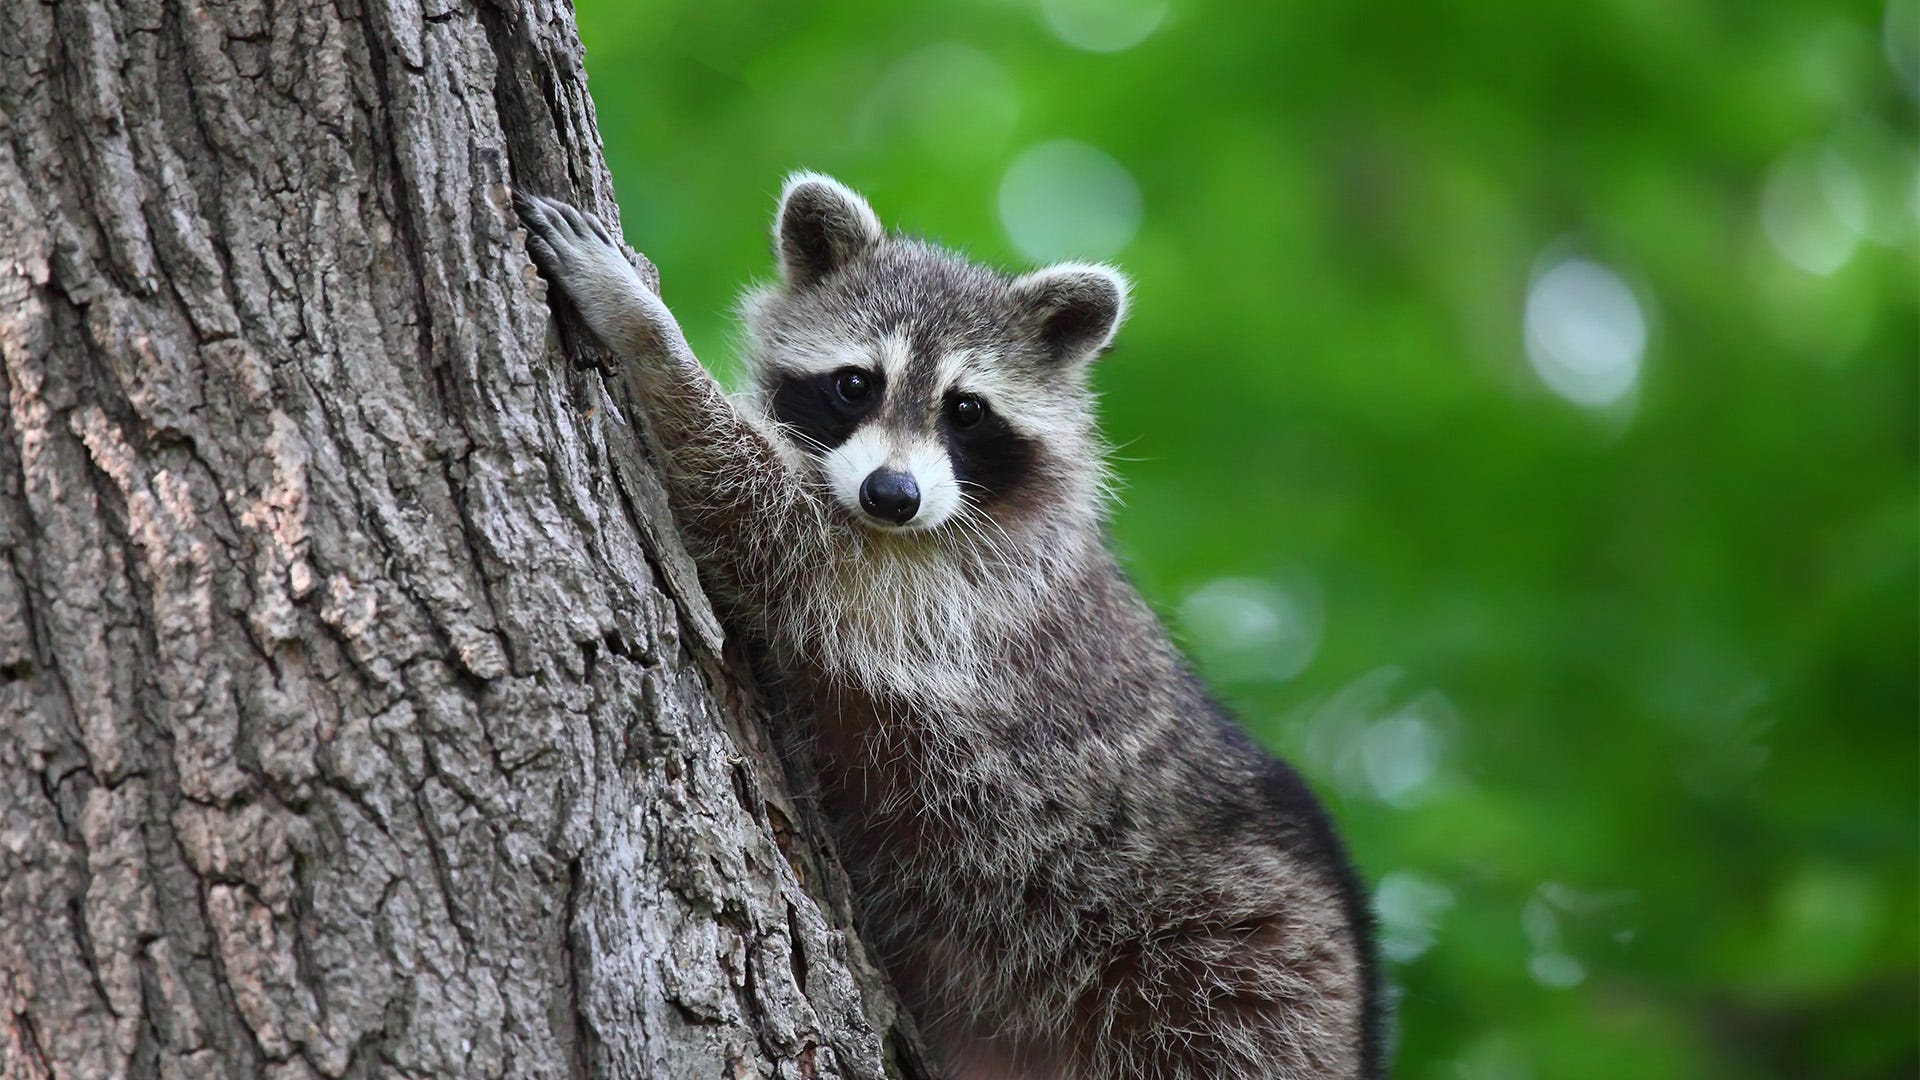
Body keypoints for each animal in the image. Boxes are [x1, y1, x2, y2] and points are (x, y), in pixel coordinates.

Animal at [510, 171, 1382, 1068]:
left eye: (966, 411)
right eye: (855, 383)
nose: (892, 496)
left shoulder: (959, 593)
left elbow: (768, 520)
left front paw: (647, 331)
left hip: (1233, 987)